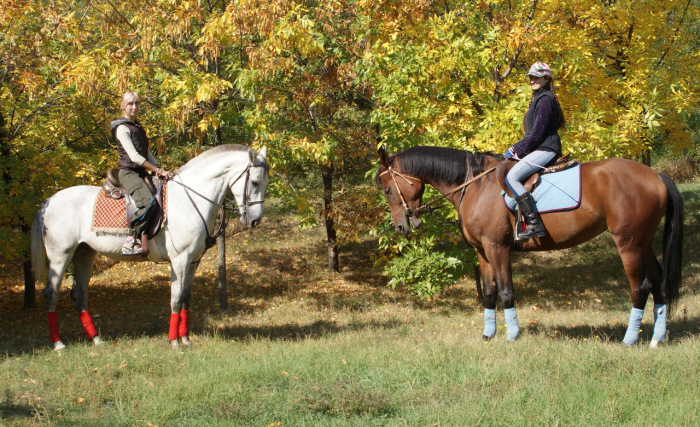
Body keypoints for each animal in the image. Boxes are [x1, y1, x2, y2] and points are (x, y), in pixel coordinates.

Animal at [31, 145, 270, 352]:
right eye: (254, 182)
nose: (255, 221)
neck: (190, 199)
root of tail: (48, 201)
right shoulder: (179, 260)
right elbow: (176, 298)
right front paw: (174, 341)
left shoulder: (193, 261)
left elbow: (186, 297)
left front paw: (185, 338)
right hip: (61, 256)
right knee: (51, 293)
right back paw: (58, 344)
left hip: (84, 254)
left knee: (79, 294)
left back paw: (96, 339)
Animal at [378, 146, 684, 348]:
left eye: (387, 189)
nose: (401, 227)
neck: (474, 186)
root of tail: (655, 175)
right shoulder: (482, 253)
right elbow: (488, 293)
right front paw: (488, 334)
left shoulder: (497, 248)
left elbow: (506, 291)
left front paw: (512, 335)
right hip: (643, 242)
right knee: (658, 284)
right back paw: (657, 338)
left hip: (628, 243)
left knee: (640, 287)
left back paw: (629, 339)